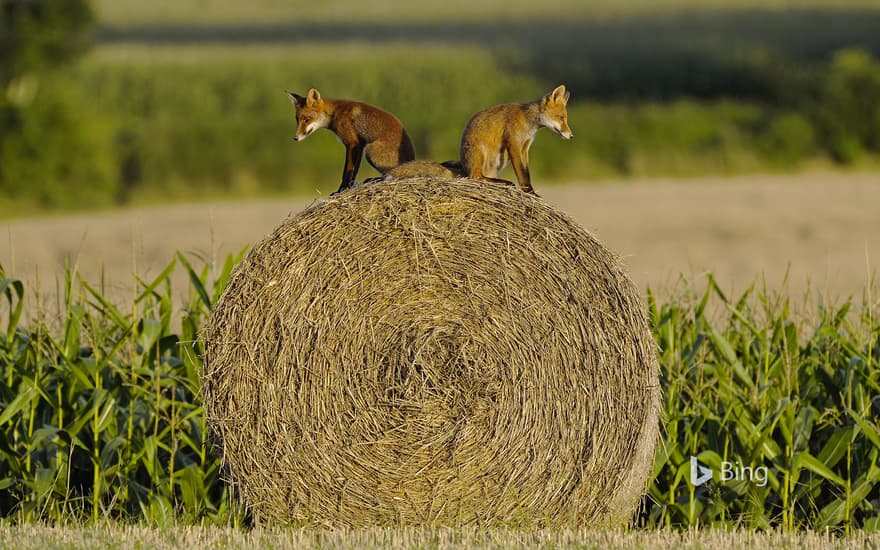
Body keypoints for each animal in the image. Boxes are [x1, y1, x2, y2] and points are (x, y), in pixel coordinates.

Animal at [286, 88, 416, 194]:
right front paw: (350, 187)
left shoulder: (353, 144)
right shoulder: (360, 146)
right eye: (297, 119)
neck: (335, 113)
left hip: (370, 151)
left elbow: (347, 171)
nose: (295, 138)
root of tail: (411, 158)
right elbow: (354, 171)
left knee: (392, 174)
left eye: (306, 119)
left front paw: (341, 190)